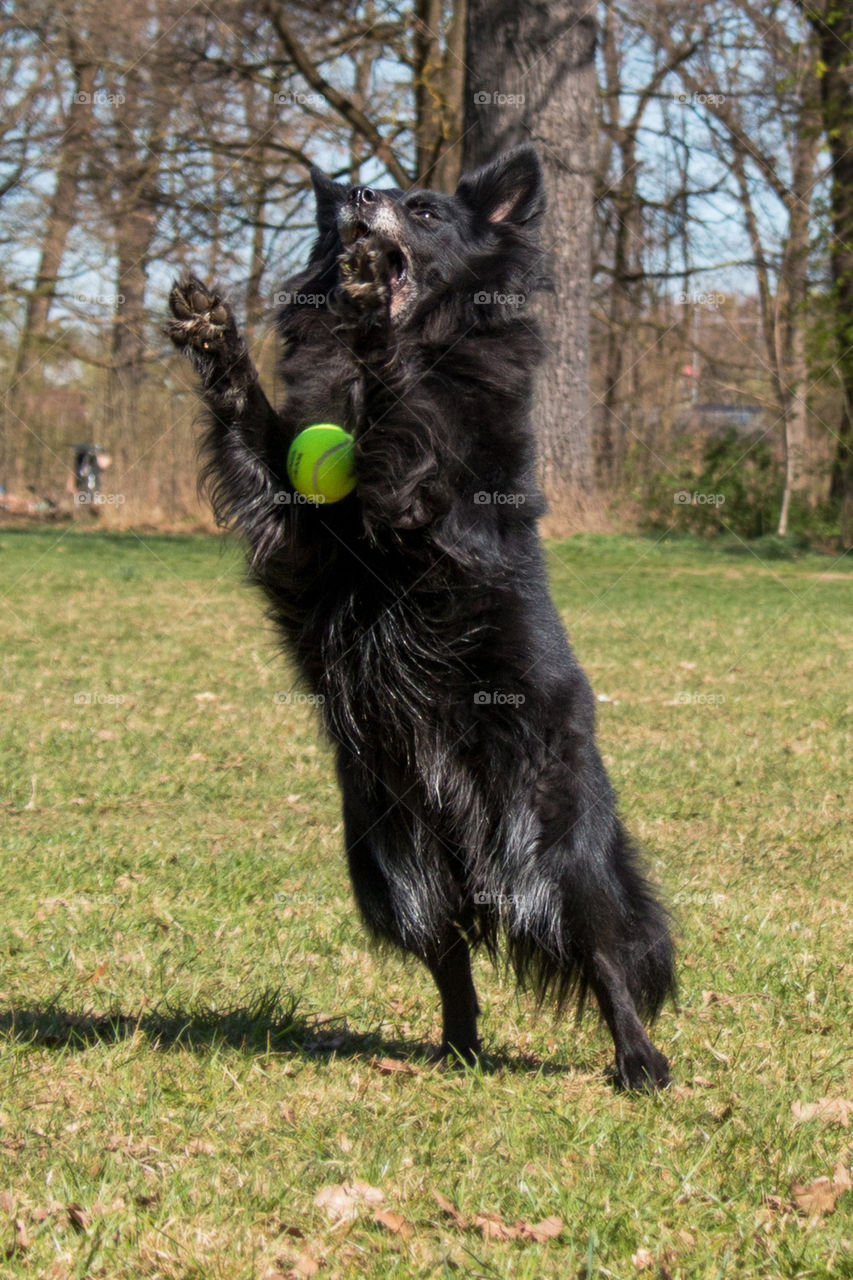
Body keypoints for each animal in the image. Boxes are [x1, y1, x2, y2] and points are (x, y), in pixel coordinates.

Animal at [166, 147, 671, 1090]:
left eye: (427, 210)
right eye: (353, 199)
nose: (360, 200)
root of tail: (473, 844)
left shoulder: (430, 511)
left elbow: (402, 409)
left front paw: (371, 321)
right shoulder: (296, 540)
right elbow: (253, 424)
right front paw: (215, 335)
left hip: (558, 850)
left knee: (605, 953)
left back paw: (639, 1063)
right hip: (389, 862)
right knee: (450, 959)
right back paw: (457, 1051)